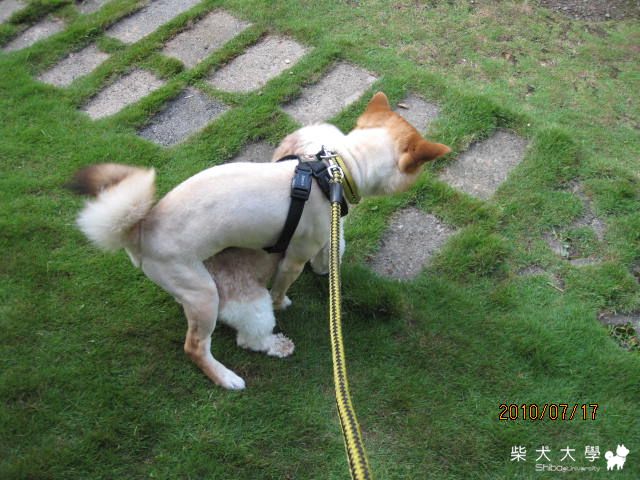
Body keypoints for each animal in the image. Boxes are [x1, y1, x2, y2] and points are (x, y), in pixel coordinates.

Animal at [69, 92, 451, 389]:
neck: (337, 168)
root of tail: (140, 230)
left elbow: (329, 253)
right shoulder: (295, 256)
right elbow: (285, 284)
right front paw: (286, 301)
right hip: (203, 293)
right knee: (196, 347)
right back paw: (227, 377)